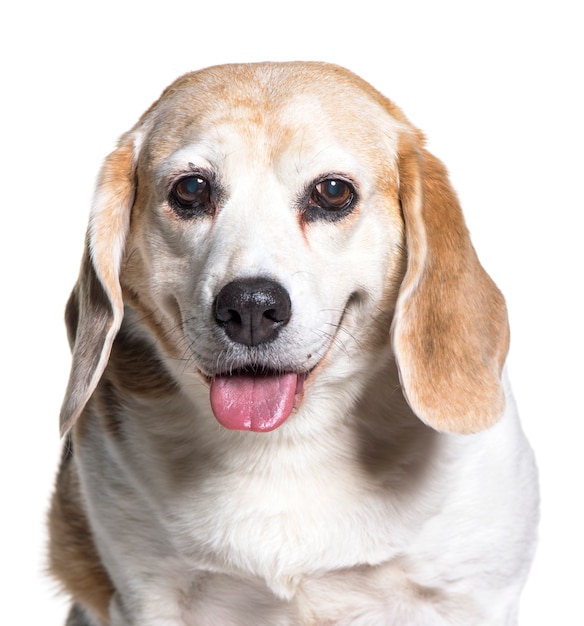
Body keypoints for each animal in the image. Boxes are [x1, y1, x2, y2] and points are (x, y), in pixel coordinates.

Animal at [48, 59, 540, 624]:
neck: (287, 444)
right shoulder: (148, 596)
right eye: (190, 189)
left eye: (332, 192)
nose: (250, 308)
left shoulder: (472, 595)